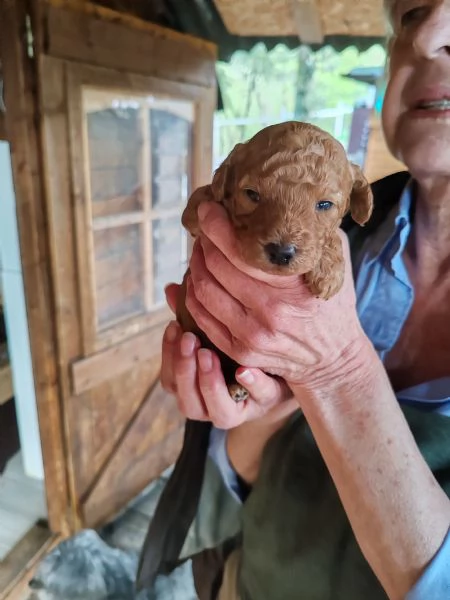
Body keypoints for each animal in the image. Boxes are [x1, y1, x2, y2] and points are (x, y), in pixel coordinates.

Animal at [176, 121, 373, 402]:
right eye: (251, 194)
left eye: (324, 204)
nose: (281, 252)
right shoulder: (197, 211)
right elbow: (204, 202)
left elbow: (332, 235)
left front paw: (329, 273)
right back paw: (235, 385)